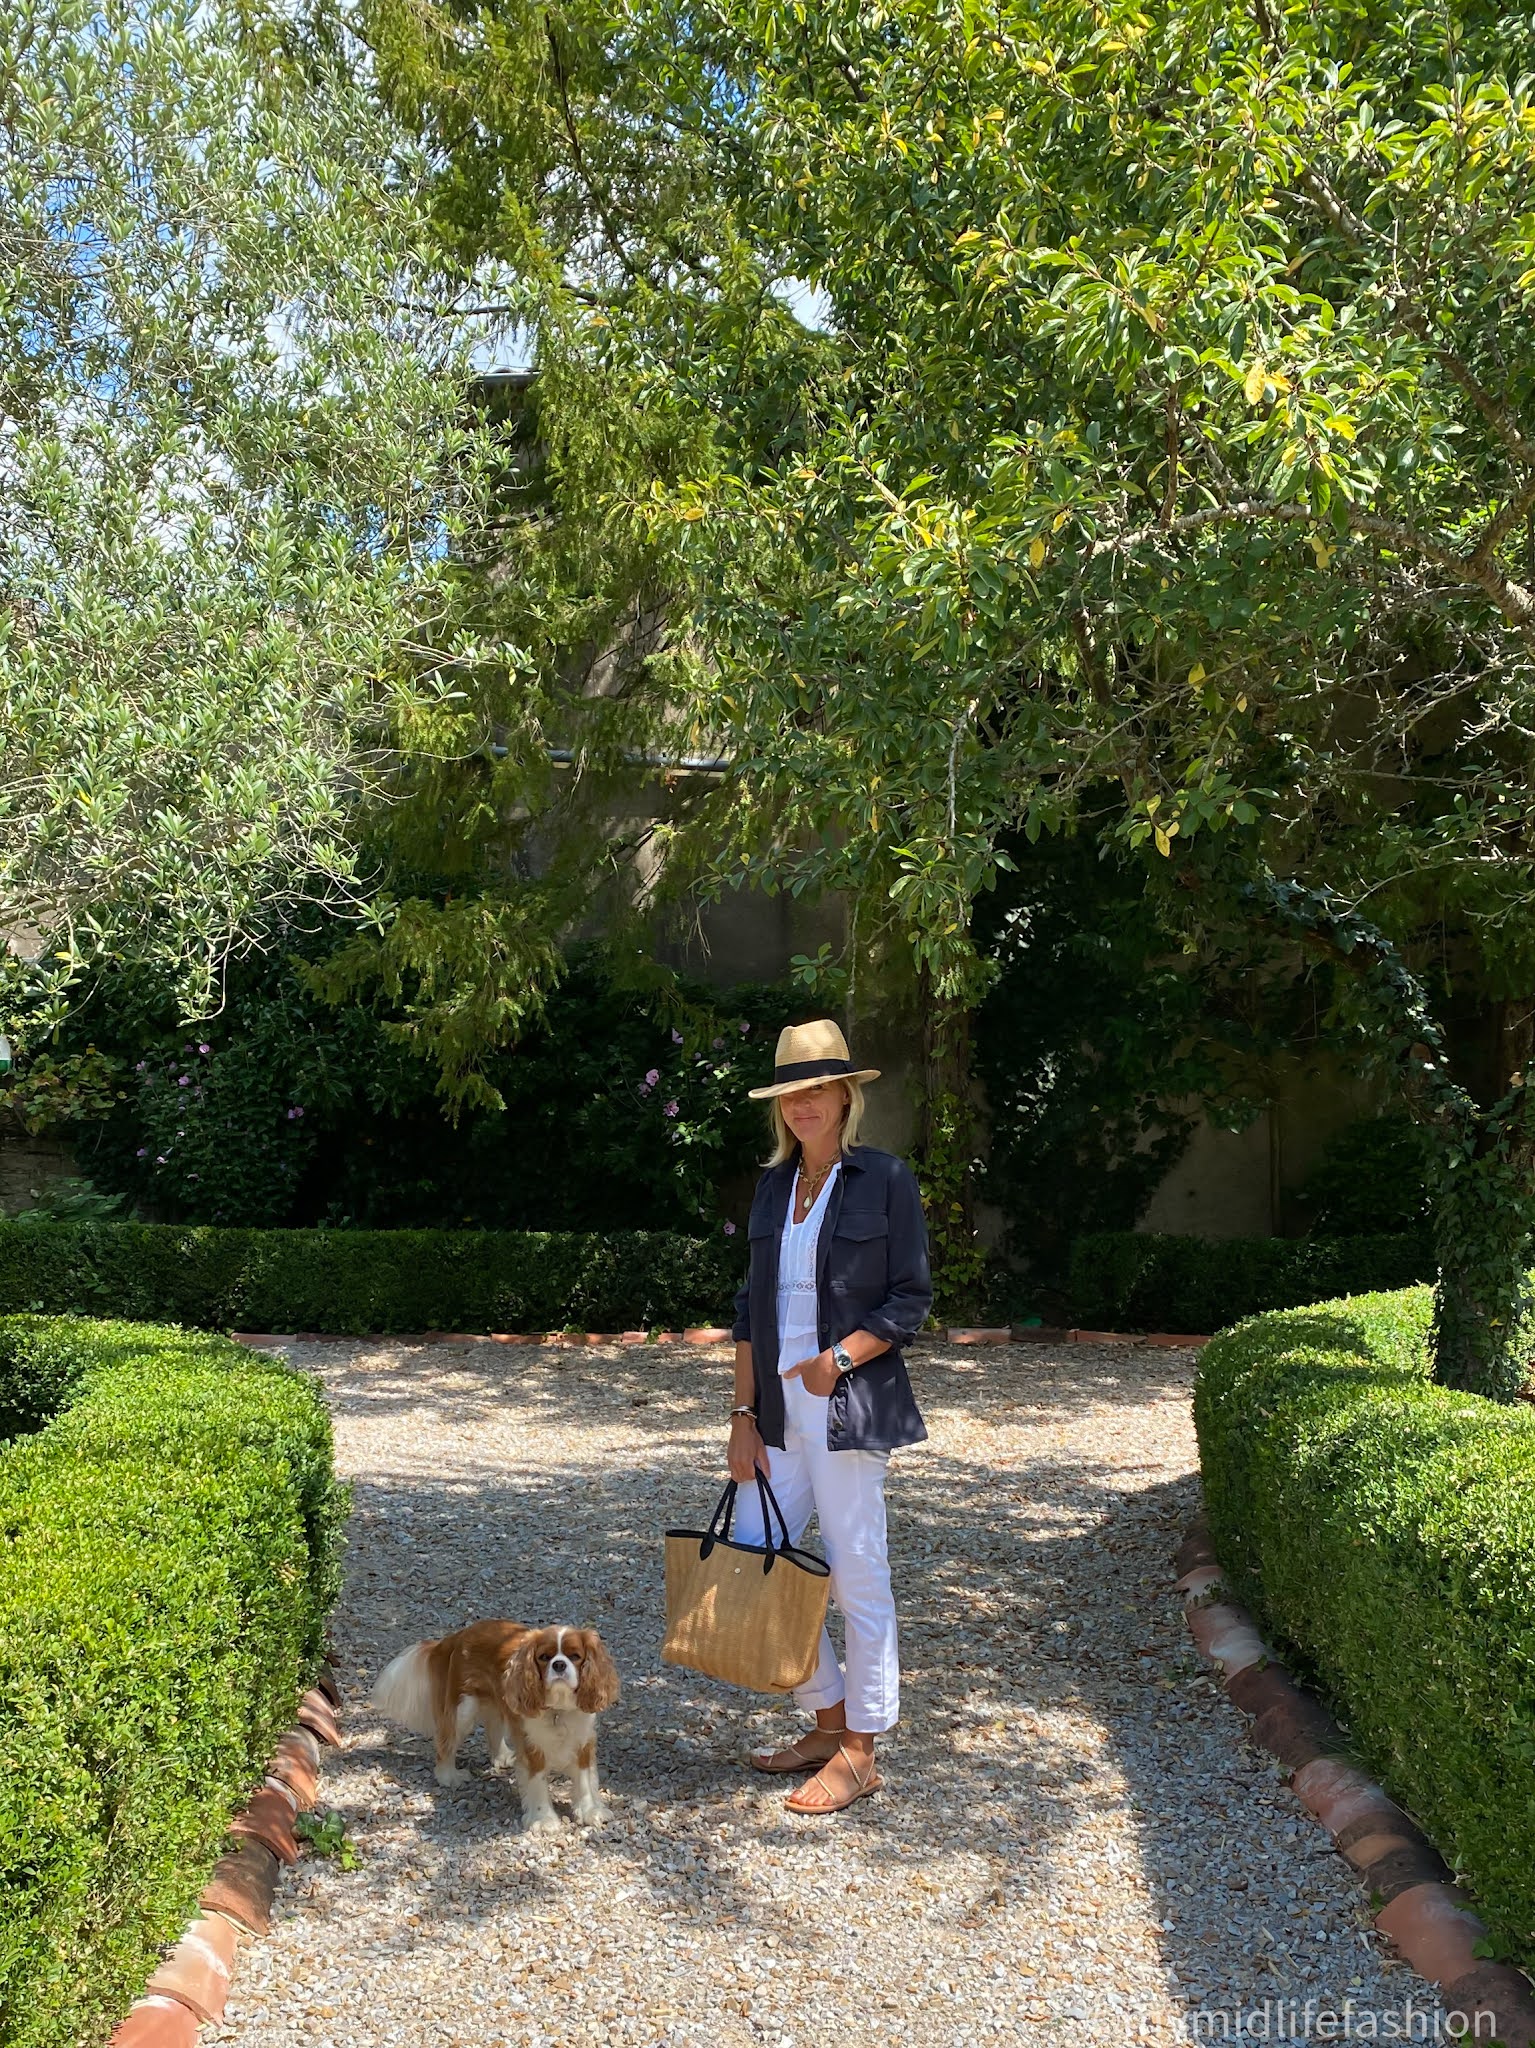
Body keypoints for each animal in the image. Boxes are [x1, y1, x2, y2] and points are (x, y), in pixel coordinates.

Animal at [376, 1622, 622, 1835]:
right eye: (544, 1657)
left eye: (575, 1656)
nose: (559, 1664)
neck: (558, 1709)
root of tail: (457, 1636)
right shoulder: (532, 1748)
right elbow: (538, 1784)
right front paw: (544, 1820)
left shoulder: (583, 1743)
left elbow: (584, 1781)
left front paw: (591, 1811)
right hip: (463, 1709)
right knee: (446, 1742)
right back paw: (449, 1776)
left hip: (497, 1702)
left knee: (493, 1728)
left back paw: (502, 1757)